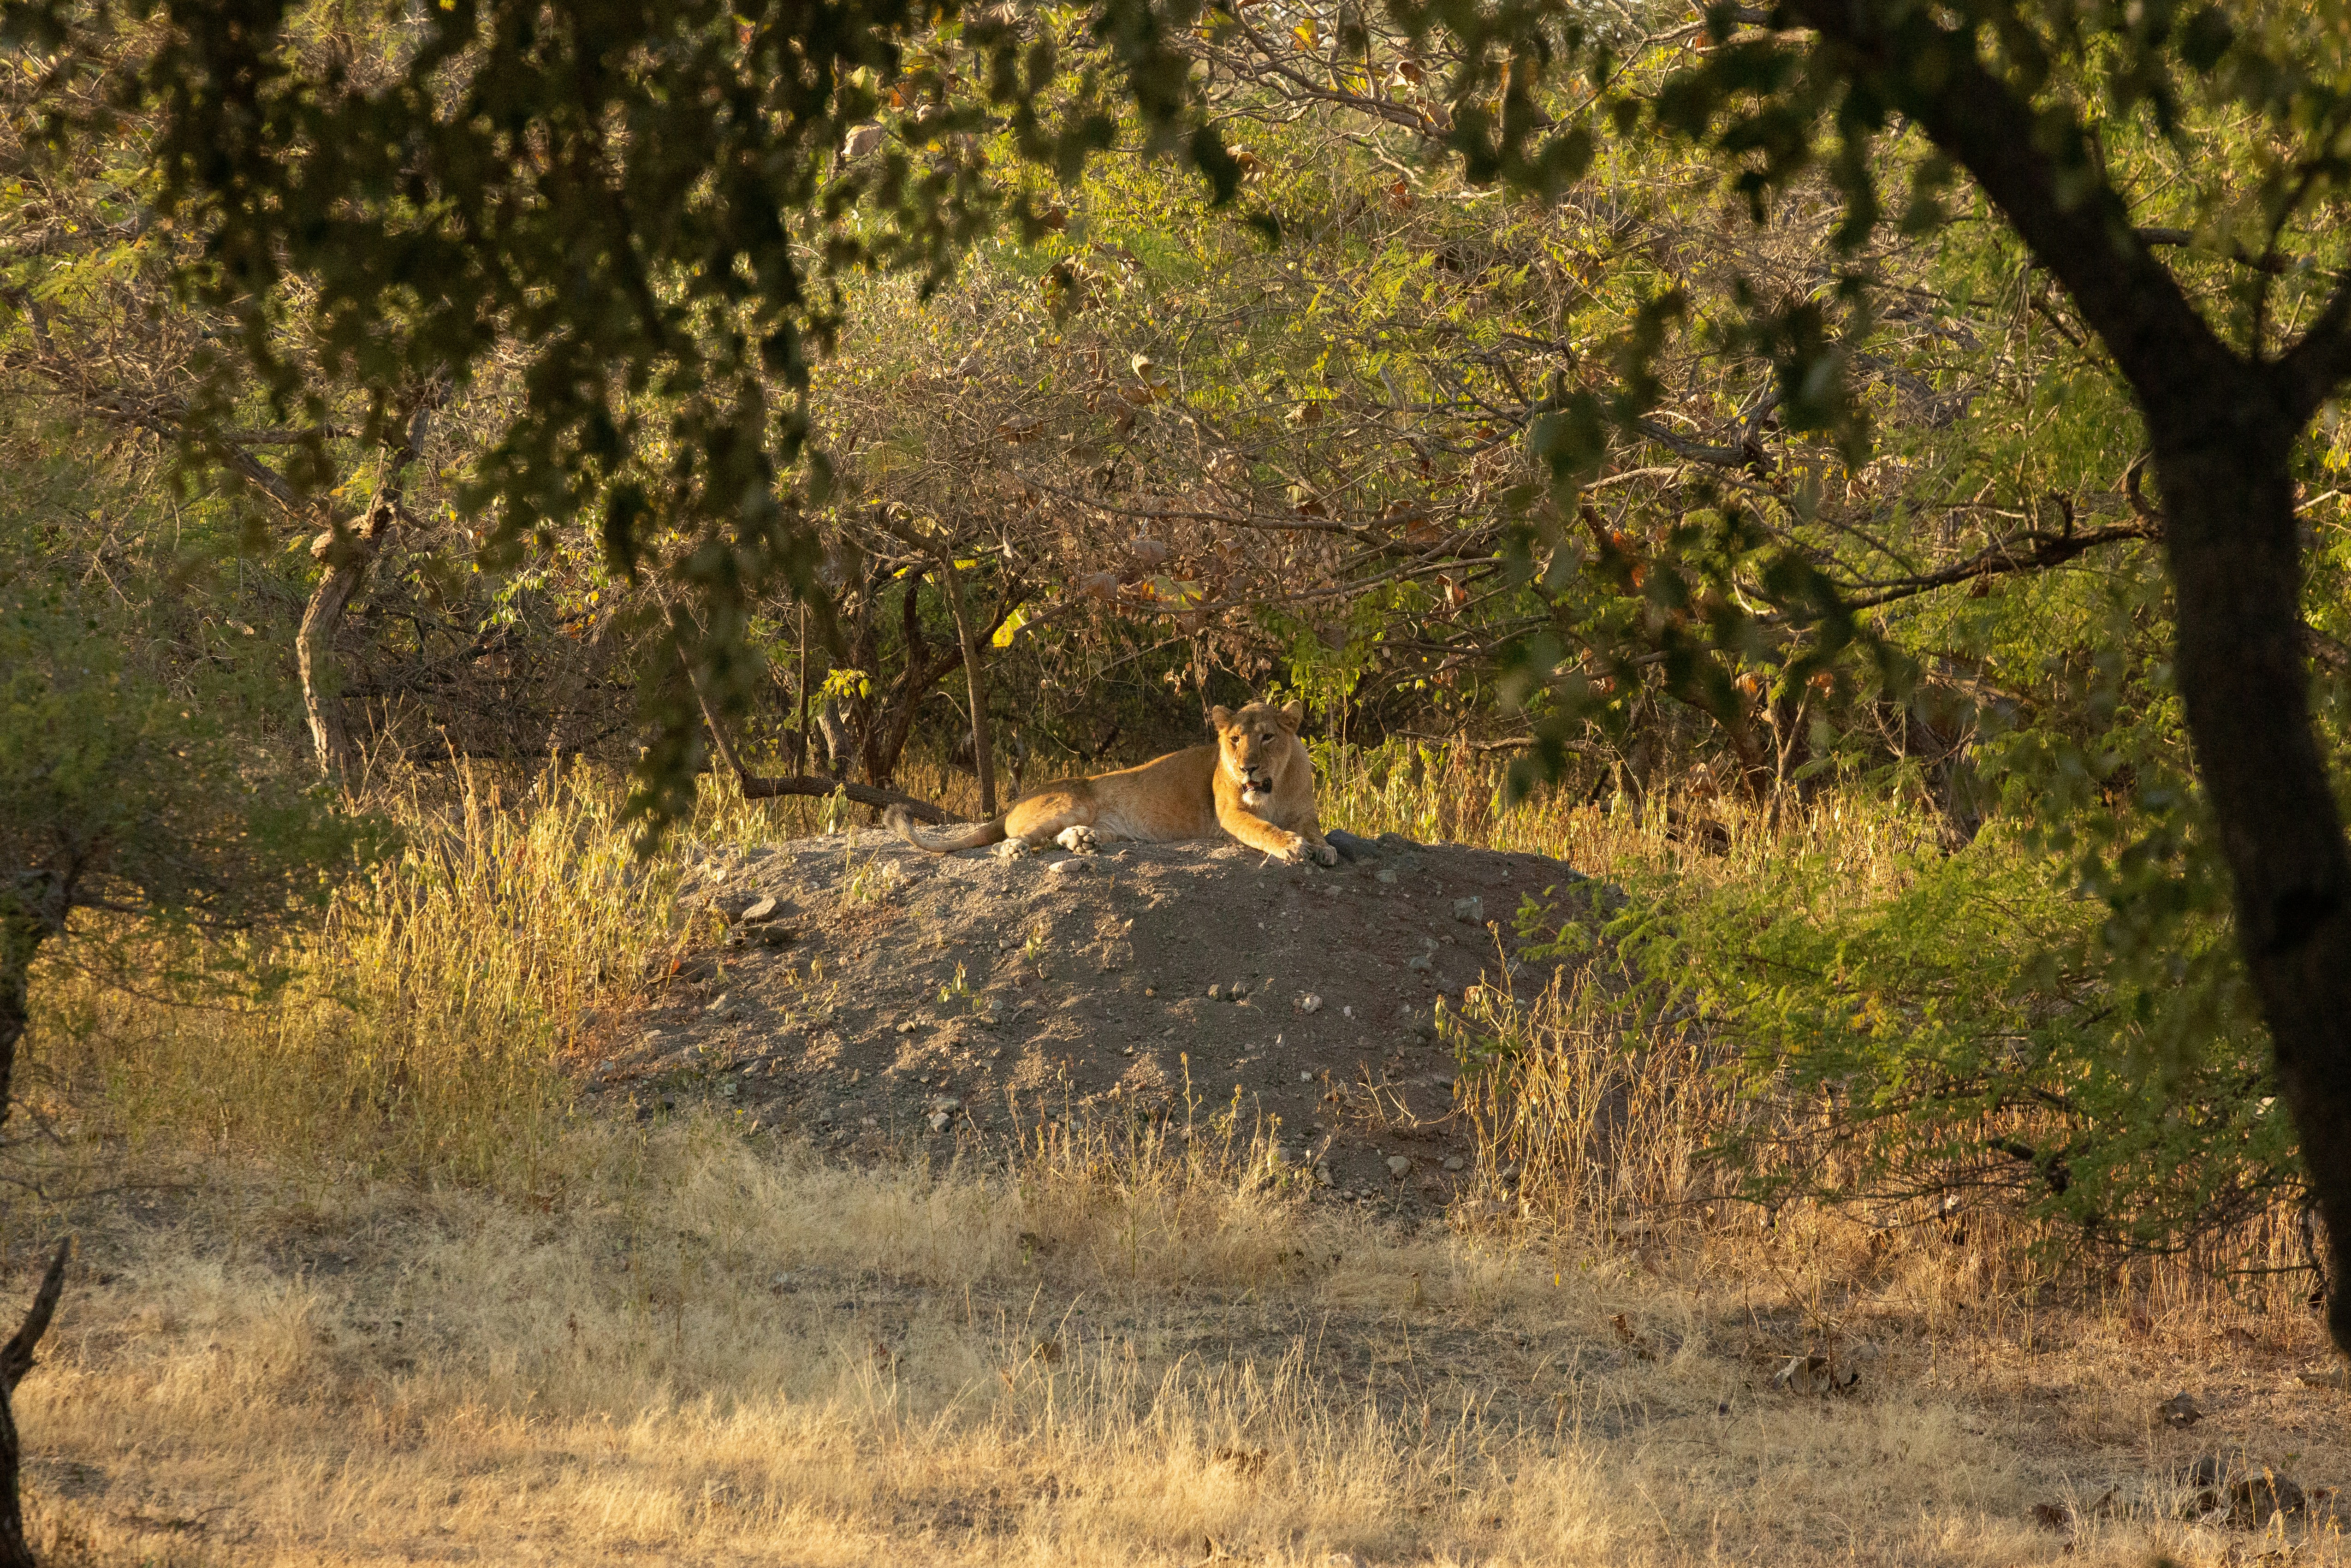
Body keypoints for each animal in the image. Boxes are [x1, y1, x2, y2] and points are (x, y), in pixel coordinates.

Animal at [886, 700, 1339, 866]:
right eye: (1235, 741)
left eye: (1268, 737)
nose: (1246, 769)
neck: (1274, 786)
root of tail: (1015, 801)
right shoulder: (1230, 816)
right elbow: (1263, 829)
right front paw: (1292, 846)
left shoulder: (1306, 812)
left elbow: (1317, 832)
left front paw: (1324, 849)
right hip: (1071, 802)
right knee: (1020, 837)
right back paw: (1017, 848)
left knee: (1062, 838)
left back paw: (1084, 842)